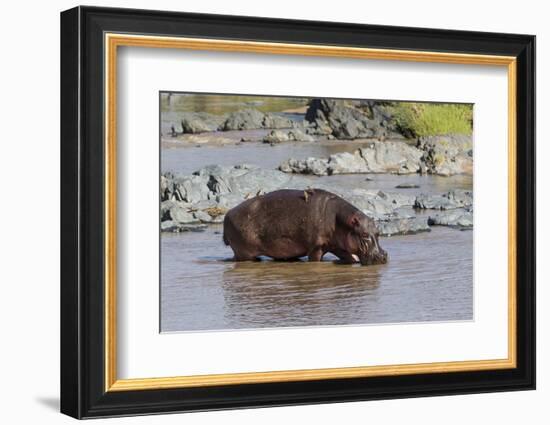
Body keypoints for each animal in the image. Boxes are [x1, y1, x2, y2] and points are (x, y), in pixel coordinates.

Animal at [223, 187, 388, 264]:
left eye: (378, 232)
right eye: (364, 234)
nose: (383, 255)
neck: (341, 221)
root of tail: (228, 213)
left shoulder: (338, 246)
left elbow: (350, 257)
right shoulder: (316, 247)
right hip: (244, 253)